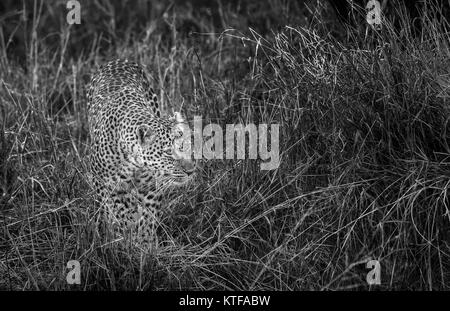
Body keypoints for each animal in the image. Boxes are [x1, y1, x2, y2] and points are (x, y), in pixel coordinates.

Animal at [87, 58, 194, 254]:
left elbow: (148, 218)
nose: (191, 171)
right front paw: (124, 239)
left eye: (185, 146)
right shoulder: (107, 184)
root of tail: (118, 60)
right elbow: (118, 211)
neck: (134, 163)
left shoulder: (151, 187)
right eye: (168, 152)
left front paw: (145, 245)